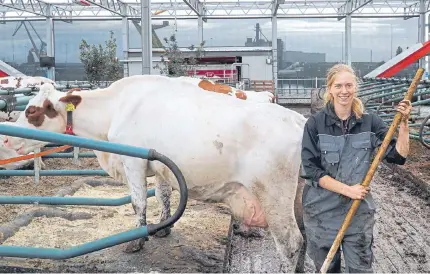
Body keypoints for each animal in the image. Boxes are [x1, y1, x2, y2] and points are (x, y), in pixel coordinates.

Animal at [2, 75, 306, 272]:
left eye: (31, 111)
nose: (5, 139)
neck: (116, 109)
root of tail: (297, 118)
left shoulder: (134, 161)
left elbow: (139, 202)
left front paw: (137, 241)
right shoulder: (162, 165)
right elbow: (163, 194)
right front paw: (164, 227)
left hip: (274, 195)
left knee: (291, 242)